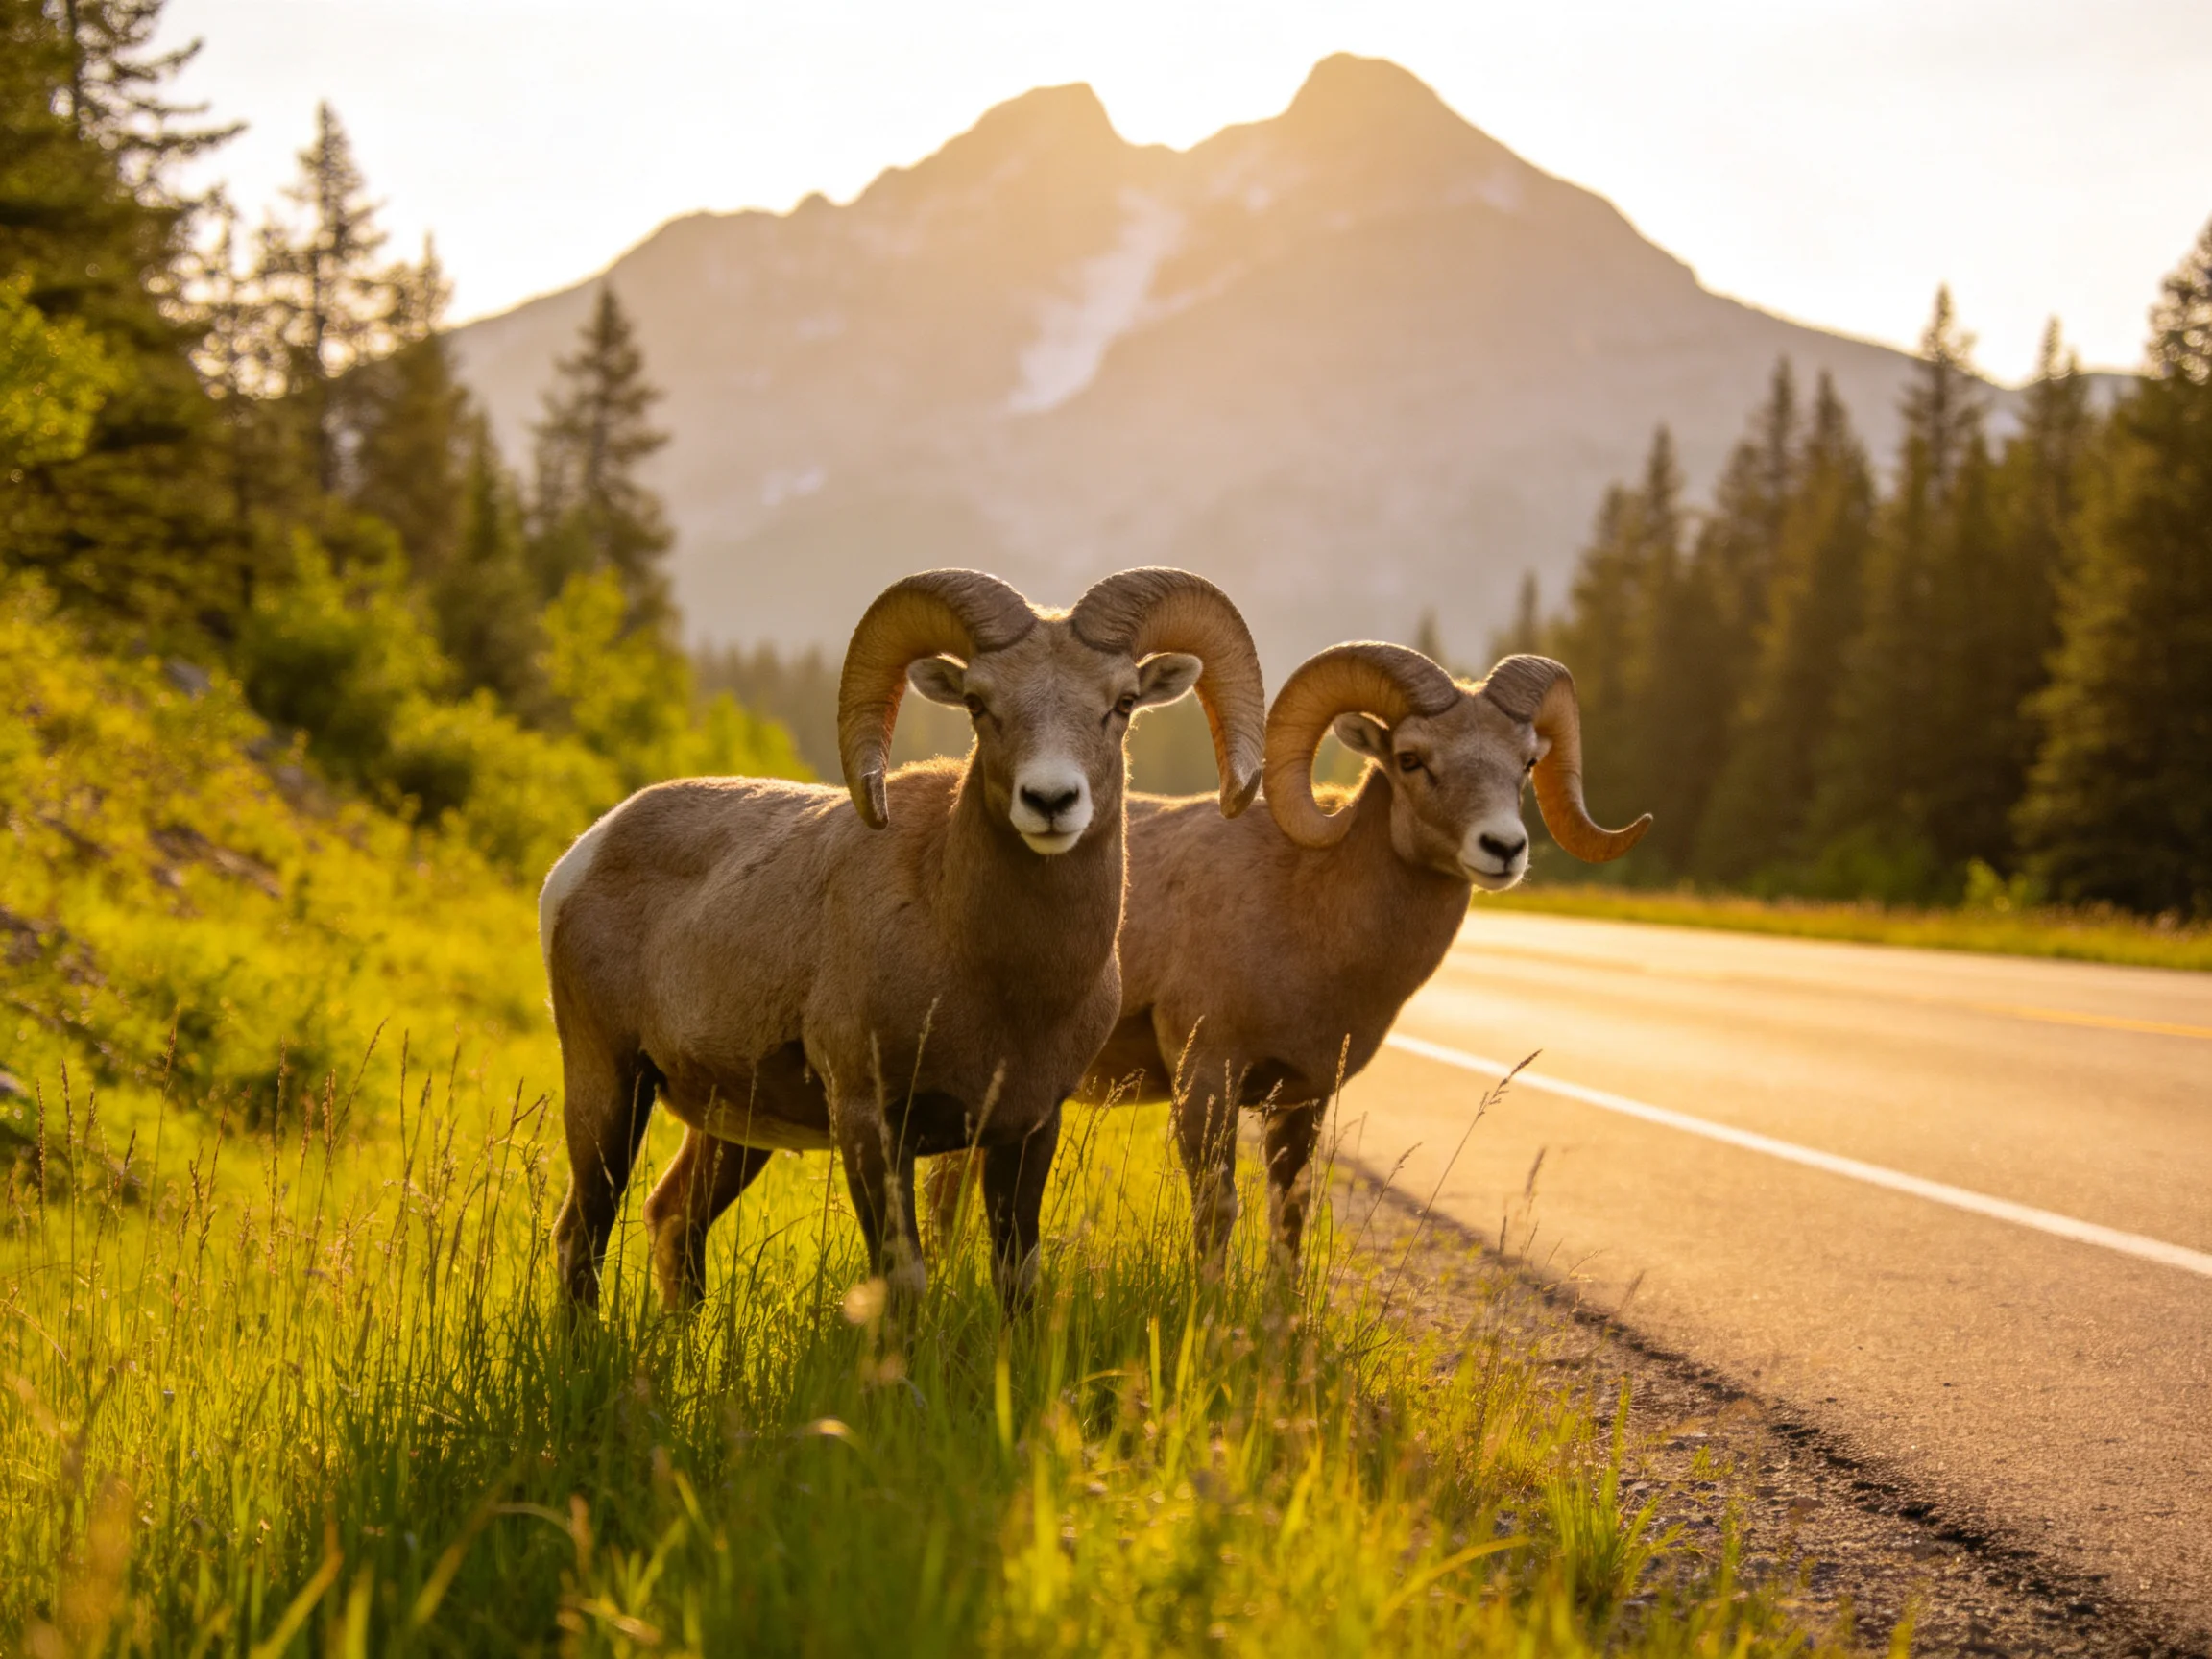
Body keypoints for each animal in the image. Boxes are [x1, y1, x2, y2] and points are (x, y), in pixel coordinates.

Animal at [540, 567, 1267, 1315]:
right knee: (580, 1235)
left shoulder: (1029, 1129)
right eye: (978, 703)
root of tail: (582, 856)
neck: (1000, 981)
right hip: (608, 1088)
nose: (1050, 801)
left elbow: (1017, 1278)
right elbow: (904, 1278)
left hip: (726, 1127)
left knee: (673, 1219)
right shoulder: (870, 1121)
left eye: (1121, 703)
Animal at [1076, 645, 1649, 1271]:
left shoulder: (1304, 1098)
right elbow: (1217, 1213)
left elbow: (1291, 1215)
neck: (1306, 913)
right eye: (1410, 759)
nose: (1504, 848)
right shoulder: (1204, 1077)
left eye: (1525, 762)